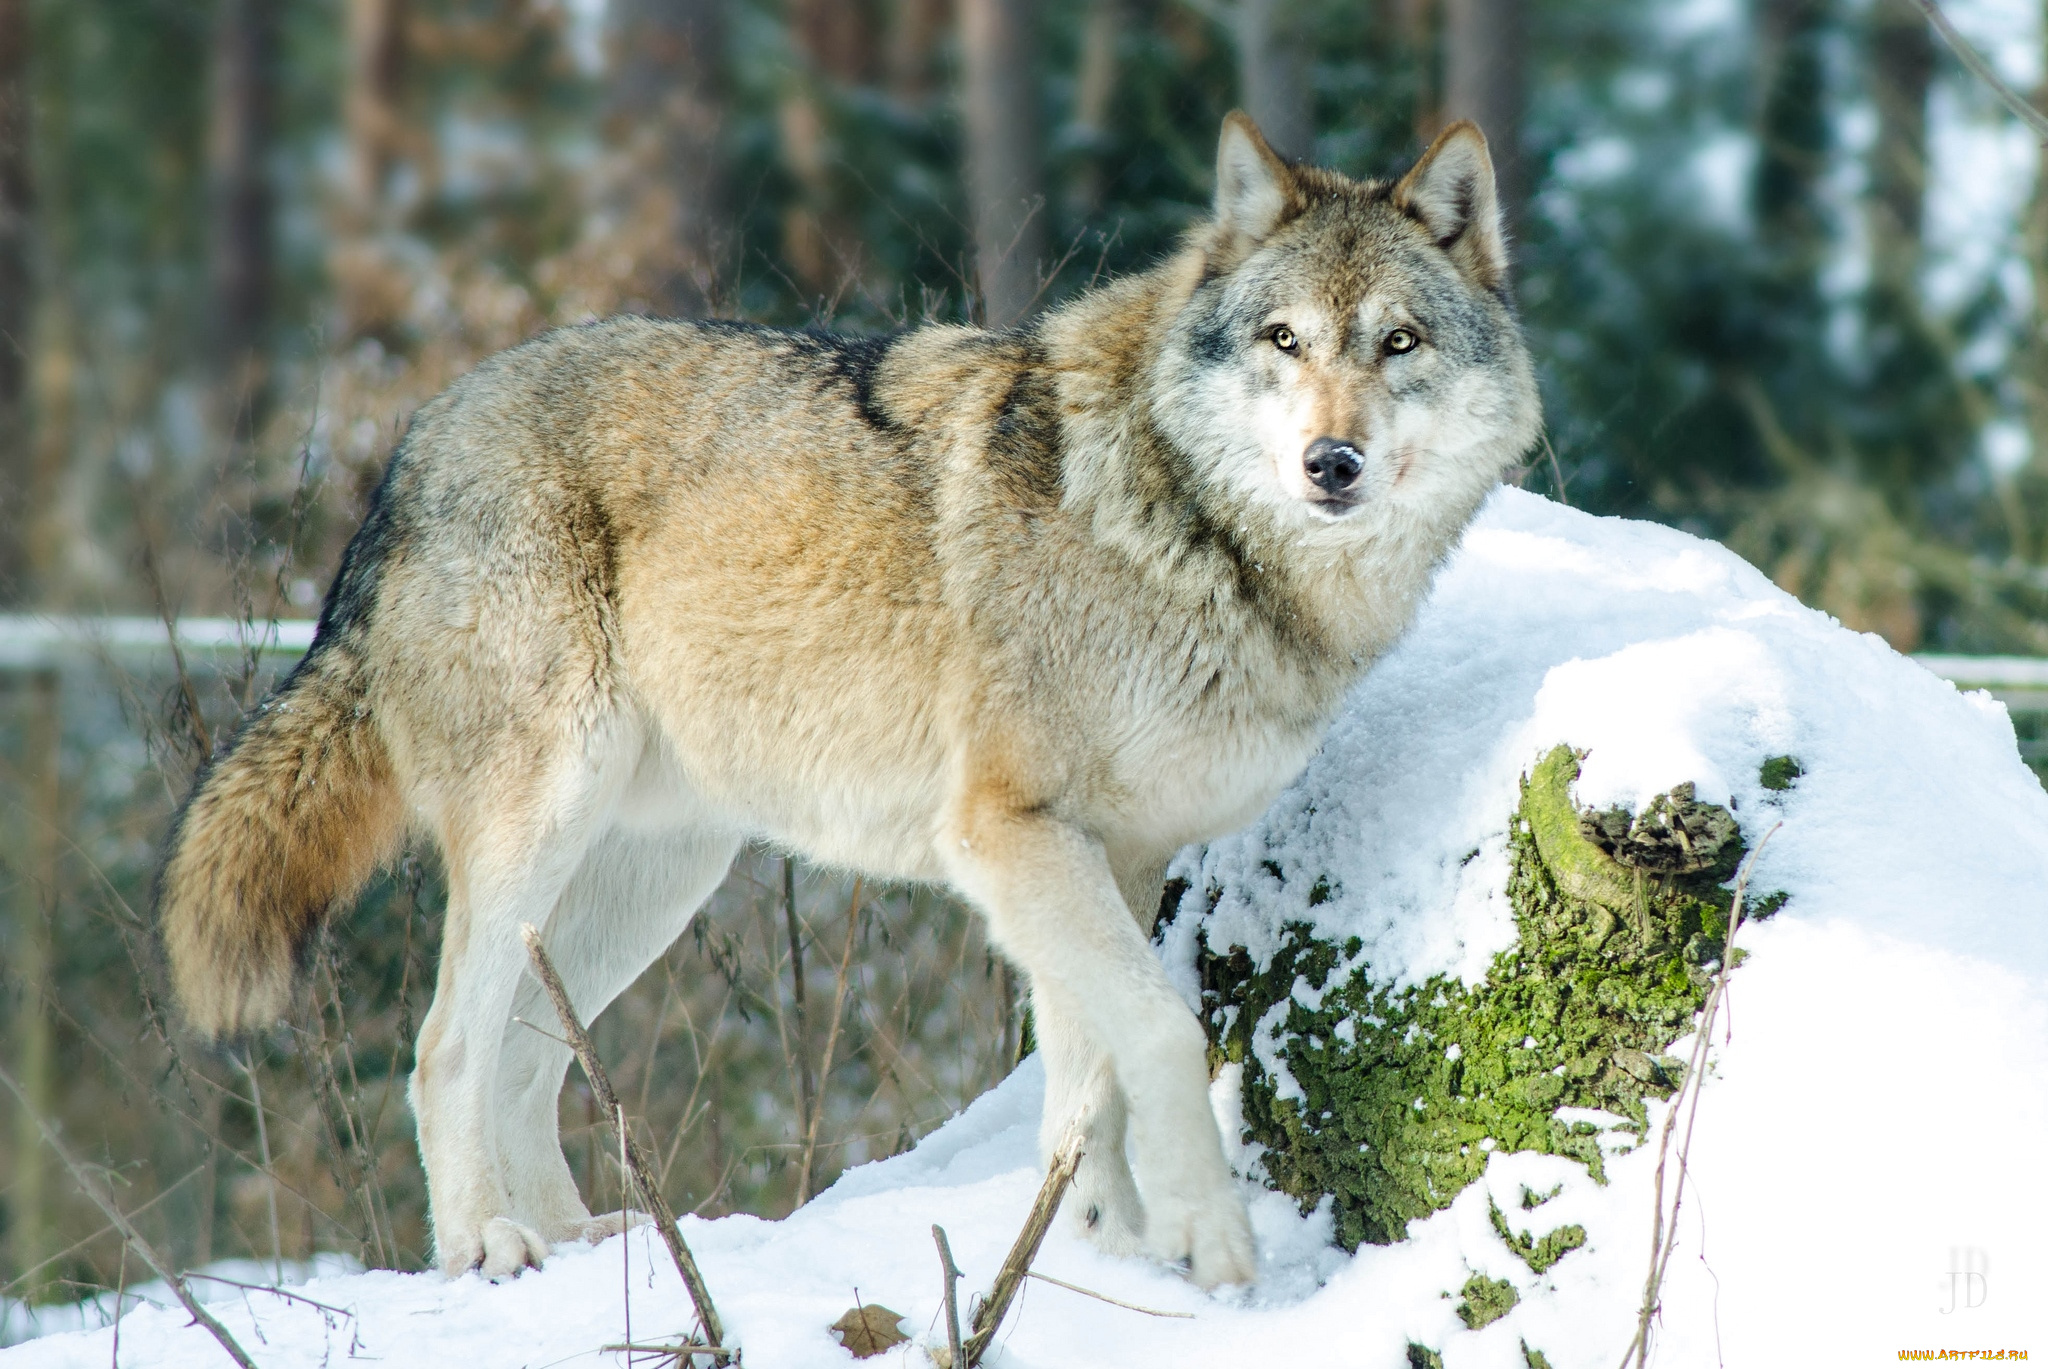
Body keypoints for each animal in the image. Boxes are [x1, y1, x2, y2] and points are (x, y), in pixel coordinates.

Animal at [159, 112, 1540, 1287]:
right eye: (1283, 341)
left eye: (1398, 343)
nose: (1330, 463)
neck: (1176, 521)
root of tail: (414, 444)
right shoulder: (1005, 833)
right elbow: (1158, 1035)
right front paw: (1204, 1241)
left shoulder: (1115, 854)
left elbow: (1084, 1082)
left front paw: (1096, 1251)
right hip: (540, 831)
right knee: (446, 1049)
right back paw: (484, 1249)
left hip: (649, 880)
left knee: (523, 1062)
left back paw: (582, 1247)